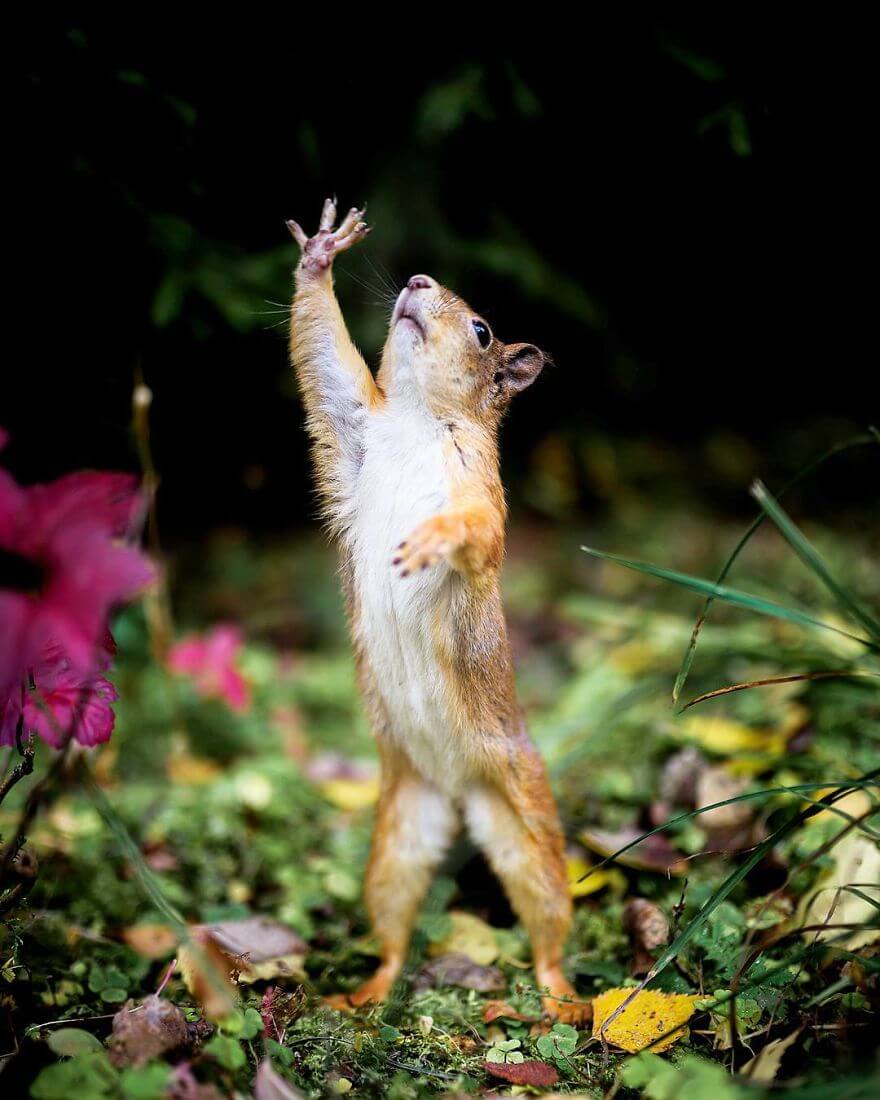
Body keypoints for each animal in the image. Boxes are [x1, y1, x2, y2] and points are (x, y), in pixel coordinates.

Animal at [286, 200, 585, 1020]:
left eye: (482, 329)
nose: (417, 281)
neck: (421, 420)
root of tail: (455, 789)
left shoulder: (481, 492)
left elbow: (477, 534)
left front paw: (431, 541)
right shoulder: (351, 431)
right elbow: (324, 365)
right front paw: (320, 256)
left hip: (525, 821)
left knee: (547, 922)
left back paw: (562, 997)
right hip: (396, 838)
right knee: (392, 924)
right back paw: (362, 993)